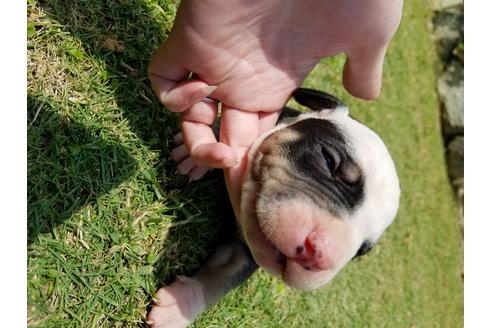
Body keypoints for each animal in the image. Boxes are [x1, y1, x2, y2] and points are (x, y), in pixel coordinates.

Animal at [147, 88, 400, 328]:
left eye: (360, 251)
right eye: (329, 161)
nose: (322, 257)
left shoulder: (245, 253)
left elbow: (223, 277)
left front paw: (179, 307)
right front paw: (196, 155)